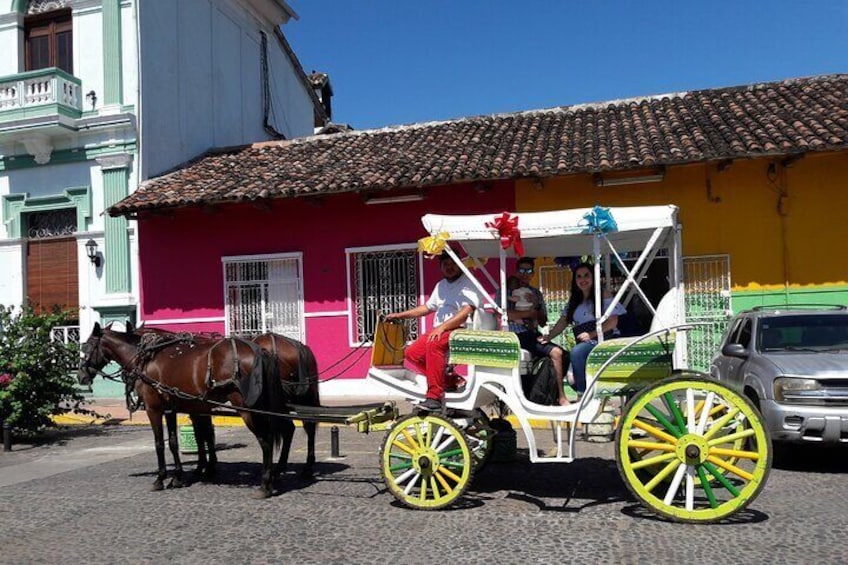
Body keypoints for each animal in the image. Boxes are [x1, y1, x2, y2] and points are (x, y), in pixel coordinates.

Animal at [81, 322, 290, 498]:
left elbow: (160, 443)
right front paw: (178, 477)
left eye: (86, 347)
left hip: (247, 409)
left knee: (266, 440)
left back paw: (265, 485)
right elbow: (175, 442)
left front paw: (160, 479)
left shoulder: (154, 409)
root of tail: (260, 351)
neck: (145, 357)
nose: (81, 376)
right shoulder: (171, 409)